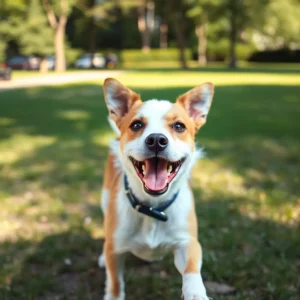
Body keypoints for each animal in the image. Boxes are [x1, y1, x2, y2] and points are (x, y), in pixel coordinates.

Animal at [99, 78, 214, 300]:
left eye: (179, 126)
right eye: (136, 125)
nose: (156, 140)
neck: (153, 207)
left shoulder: (188, 241)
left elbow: (191, 269)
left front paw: (195, 292)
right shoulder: (115, 250)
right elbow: (115, 283)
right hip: (105, 199)